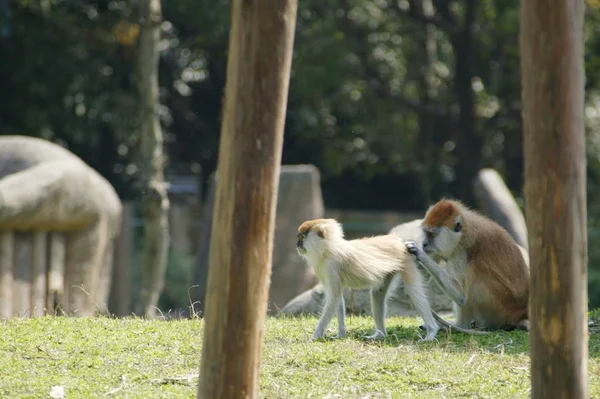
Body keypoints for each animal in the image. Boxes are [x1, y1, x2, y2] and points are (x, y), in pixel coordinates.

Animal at [294, 219, 488, 340]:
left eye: (302, 237)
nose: (297, 244)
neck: (329, 248)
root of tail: (400, 242)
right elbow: (338, 300)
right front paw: (340, 335)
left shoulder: (331, 265)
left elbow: (333, 299)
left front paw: (315, 337)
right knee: (377, 293)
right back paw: (380, 335)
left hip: (405, 260)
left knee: (412, 290)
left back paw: (432, 330)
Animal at [404, 198, 528, 332]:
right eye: (426, 232)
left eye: (433, 234)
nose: (424, 244)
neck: (464, 233)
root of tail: (521, 313)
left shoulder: (461, 253)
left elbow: (461, 296)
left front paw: (418, 252)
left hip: (499, 309)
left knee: (474, 285)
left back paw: (460, 325)